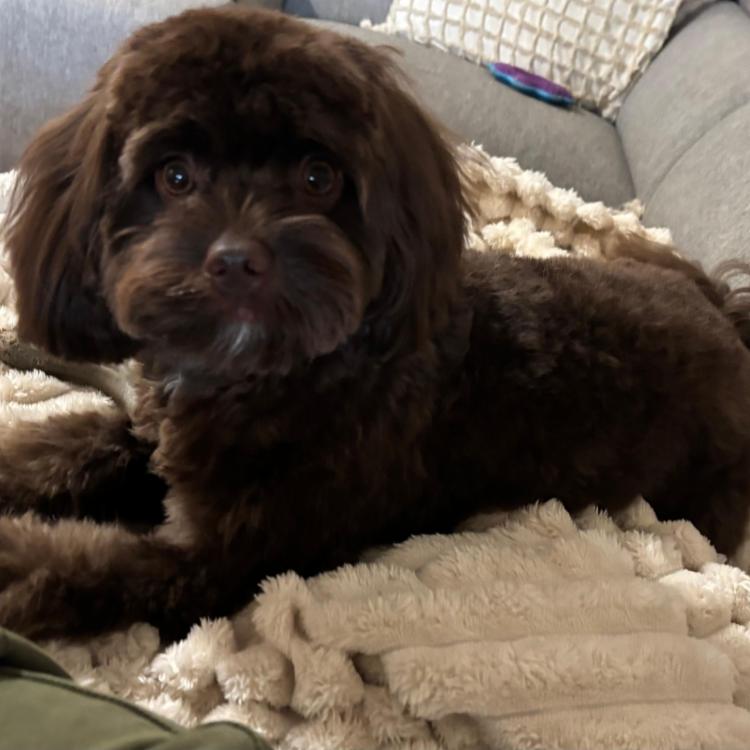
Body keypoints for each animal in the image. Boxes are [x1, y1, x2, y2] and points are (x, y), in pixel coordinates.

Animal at [2, 6, 750, 640]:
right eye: (175, 176)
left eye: (318, 177)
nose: (238, 260)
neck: (266, 375)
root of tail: (725, 314)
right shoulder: (154, 435)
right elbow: (67, 447)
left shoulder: (233, 557)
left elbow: (99, 567)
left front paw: (14, 560)